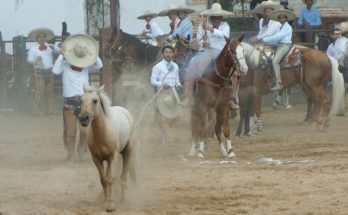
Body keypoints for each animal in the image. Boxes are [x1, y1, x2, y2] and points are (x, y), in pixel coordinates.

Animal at [78, 84, 137, 212]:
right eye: (81, 100)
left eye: (95, 100)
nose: (83, 118)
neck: (103, 132)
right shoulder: (97, 159)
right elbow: (104, 180)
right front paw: (105, 202)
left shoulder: (113, 156)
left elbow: (111, 179)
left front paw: (111, 205)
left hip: (127, 151)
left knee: (123, 177)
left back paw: (123, 200)